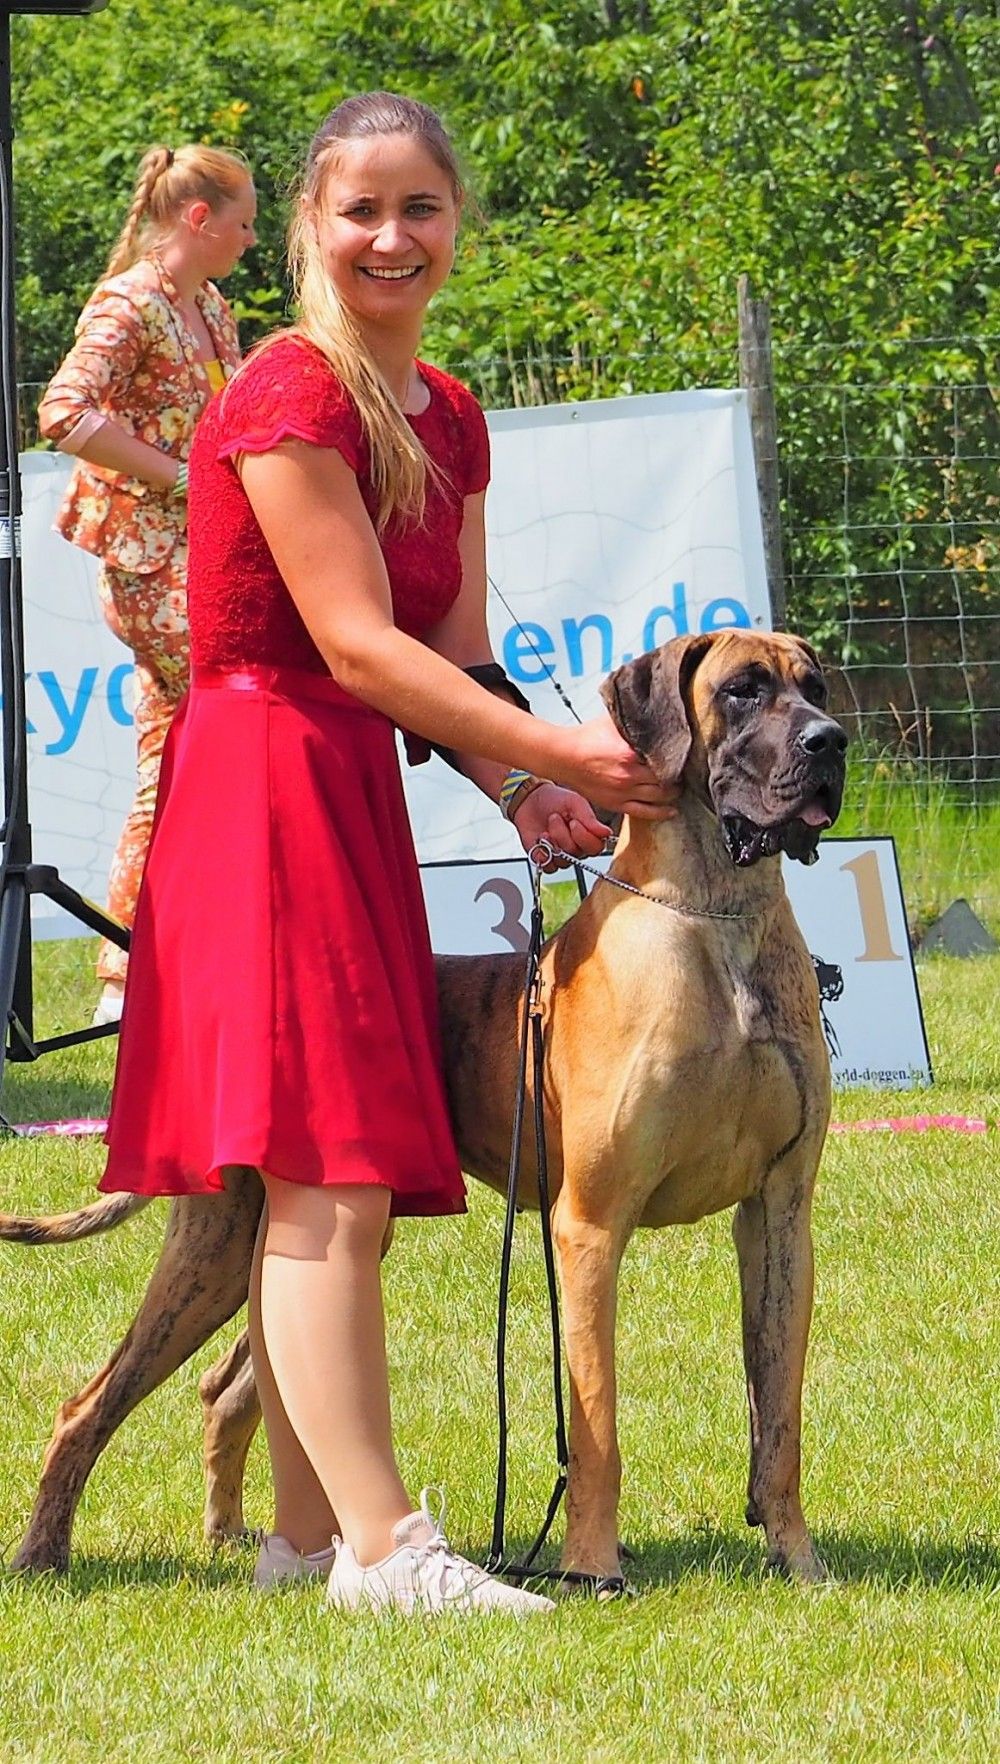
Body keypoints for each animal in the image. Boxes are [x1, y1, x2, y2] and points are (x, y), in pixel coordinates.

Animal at [1, 629, 847, 1583]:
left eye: (815, 687)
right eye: (743, 691)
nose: (829, 741)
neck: (717, 914)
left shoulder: (779, 1215)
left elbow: (778, 1419)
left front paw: (798, 1561)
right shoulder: (591, 1225)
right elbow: (595, 1424)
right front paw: (591, 1568)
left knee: (230, 1389)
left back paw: (241, 1540)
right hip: (215, 1249)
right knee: (90, 1403)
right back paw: (44, 1552)